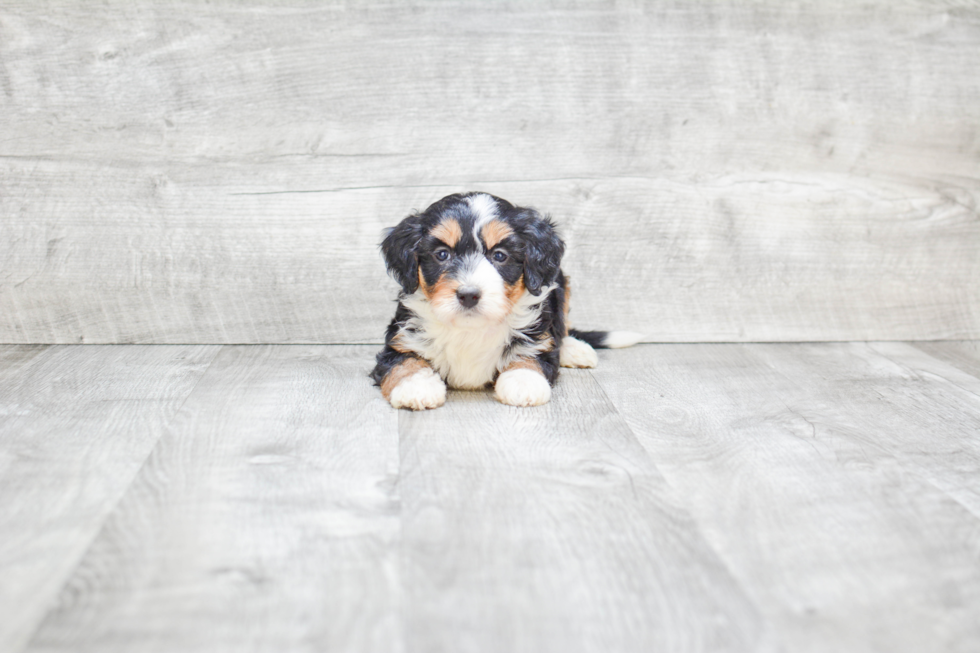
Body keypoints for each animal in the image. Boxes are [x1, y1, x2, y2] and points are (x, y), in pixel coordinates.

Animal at [372, 191, 640, 410]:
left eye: (500, 256)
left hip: (560, 282)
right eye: (442, 254)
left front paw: (523, 381)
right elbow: (404, 362)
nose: (469, 295)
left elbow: (531, 354)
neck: (471, 328)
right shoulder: (400, 340)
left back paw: (575, 350)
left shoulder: (537, 335)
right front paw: (416, 387)